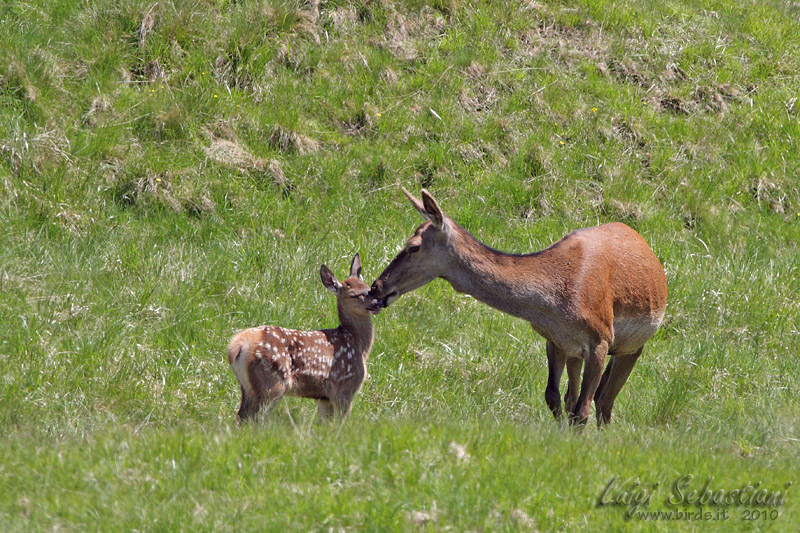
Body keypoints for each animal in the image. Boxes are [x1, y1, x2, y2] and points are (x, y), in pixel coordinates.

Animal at [227, 254, 382, 423]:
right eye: (352, 295)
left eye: (369, 289)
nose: (378, 303)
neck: (358, 344)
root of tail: (238, 345)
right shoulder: (344, 387)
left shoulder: (323, 397)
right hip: (271, 382)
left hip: (248, 387)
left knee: (241, 417)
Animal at [370, 189, 668, 427]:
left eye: (413, 247)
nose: (376, 288)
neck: (557, 303)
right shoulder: (555, 340)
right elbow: (553, 397)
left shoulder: (600, 339)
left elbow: (583, 408)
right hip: (578, 352)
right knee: (577, 397)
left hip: (634, 343)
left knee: (604, 400)